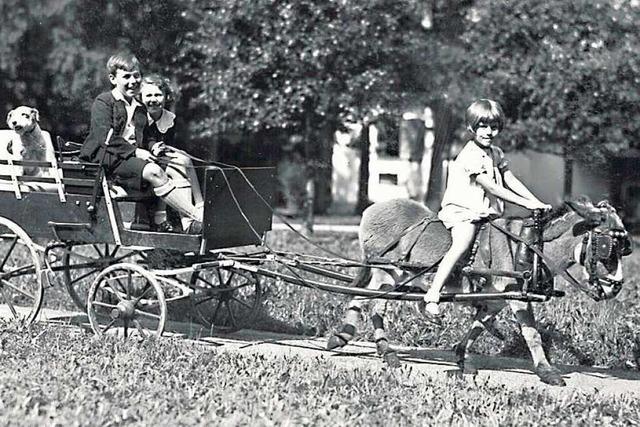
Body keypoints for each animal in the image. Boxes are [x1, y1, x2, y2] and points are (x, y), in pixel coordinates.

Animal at [328, 197, 632, 388]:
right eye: (607, 247)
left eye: (625, 248)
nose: (616, 286)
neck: (531, 247)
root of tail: (373, 208)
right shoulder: (516, 298)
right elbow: (531, 333)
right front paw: (548, 372)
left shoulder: (496, 299)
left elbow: (478, 325)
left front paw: (462, 356)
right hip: (386, 273)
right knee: (367, 302)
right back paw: (370, 345)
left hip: (393, 276)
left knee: (367, 300)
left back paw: (363, 342)